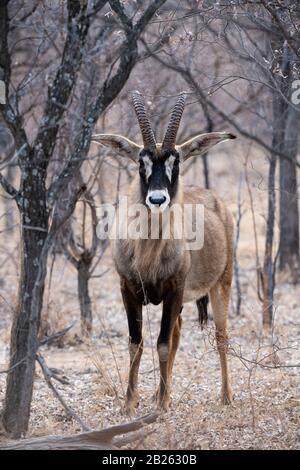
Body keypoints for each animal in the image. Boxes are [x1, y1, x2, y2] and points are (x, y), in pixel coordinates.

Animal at [93, 91, 237, 412]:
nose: (157, 199)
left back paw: (225, 396)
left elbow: (161, 344)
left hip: (221, 284)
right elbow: (136, 343)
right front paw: (131, 402)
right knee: (178, 333)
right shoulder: (128, 289)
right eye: (141, 162)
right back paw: (164, 392)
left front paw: (160, 406)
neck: (147, 252)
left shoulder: (174, 289)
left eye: (177, 161)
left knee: (220, 335)